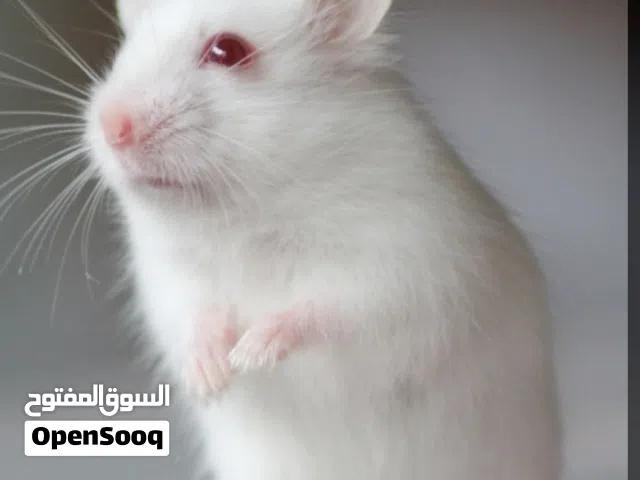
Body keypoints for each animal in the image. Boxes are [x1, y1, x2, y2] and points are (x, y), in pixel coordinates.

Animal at [84, 0, 561, 478]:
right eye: (126, 45)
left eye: (228, 50)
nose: (111, 127)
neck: (244, 213)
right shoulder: (171, 277)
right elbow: (195, 318)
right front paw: (212, 380)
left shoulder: (396, 266)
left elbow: (322, 309)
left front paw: (251, 351)